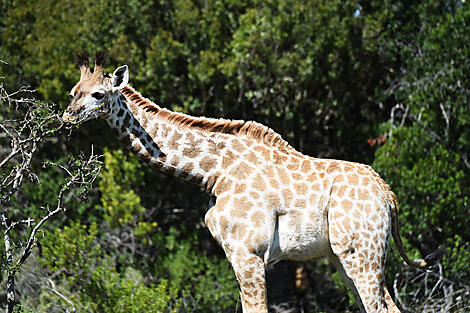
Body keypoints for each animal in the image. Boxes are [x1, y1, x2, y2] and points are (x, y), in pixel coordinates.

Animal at [63, 53, 444, 312]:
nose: (66, 116)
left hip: (361, 253)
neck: (212, 173)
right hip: (345, 255)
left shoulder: (248, 253)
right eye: (73, 91)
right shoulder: (244, 255)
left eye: (98, 94)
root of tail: (389, 195)